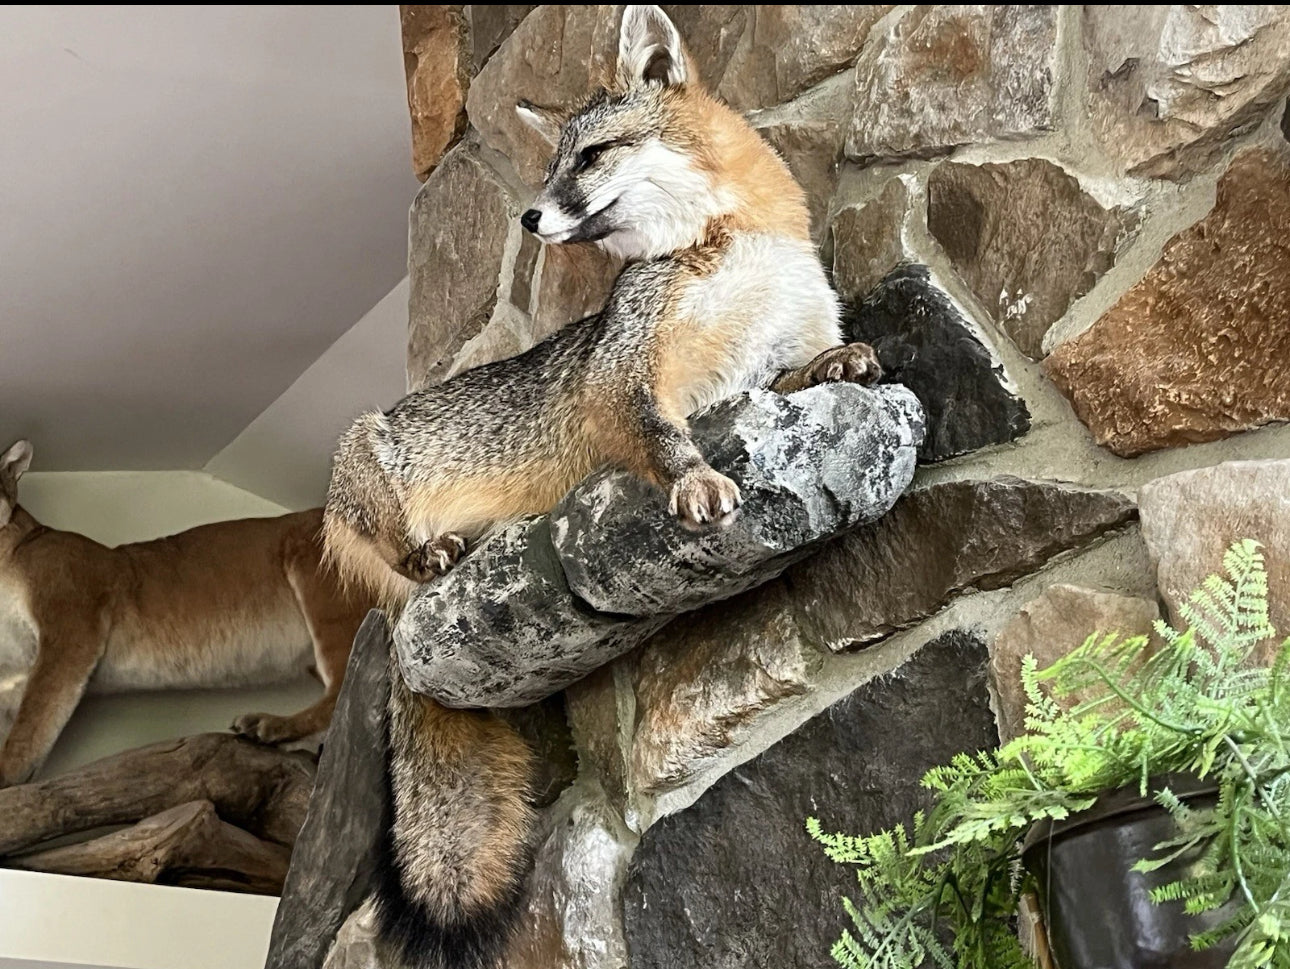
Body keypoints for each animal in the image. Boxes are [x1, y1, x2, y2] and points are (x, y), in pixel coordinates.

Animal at [0, 438, 372, 787]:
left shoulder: (71, 624)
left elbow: (34, 716)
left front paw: (7, 775)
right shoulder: (15, 672)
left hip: (324, 585)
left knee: (343, 688)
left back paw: (272, 726)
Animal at [322, 6, 883, 967]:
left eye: (586, 158)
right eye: (551, 165)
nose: (528, 213)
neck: (733, 248)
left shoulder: (764, 358)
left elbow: (800, 365)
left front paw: (836, 362)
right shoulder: (620, 381)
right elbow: (662, 435)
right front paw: (694, 479)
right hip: (360, 453)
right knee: (399, 547)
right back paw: (435, 551)